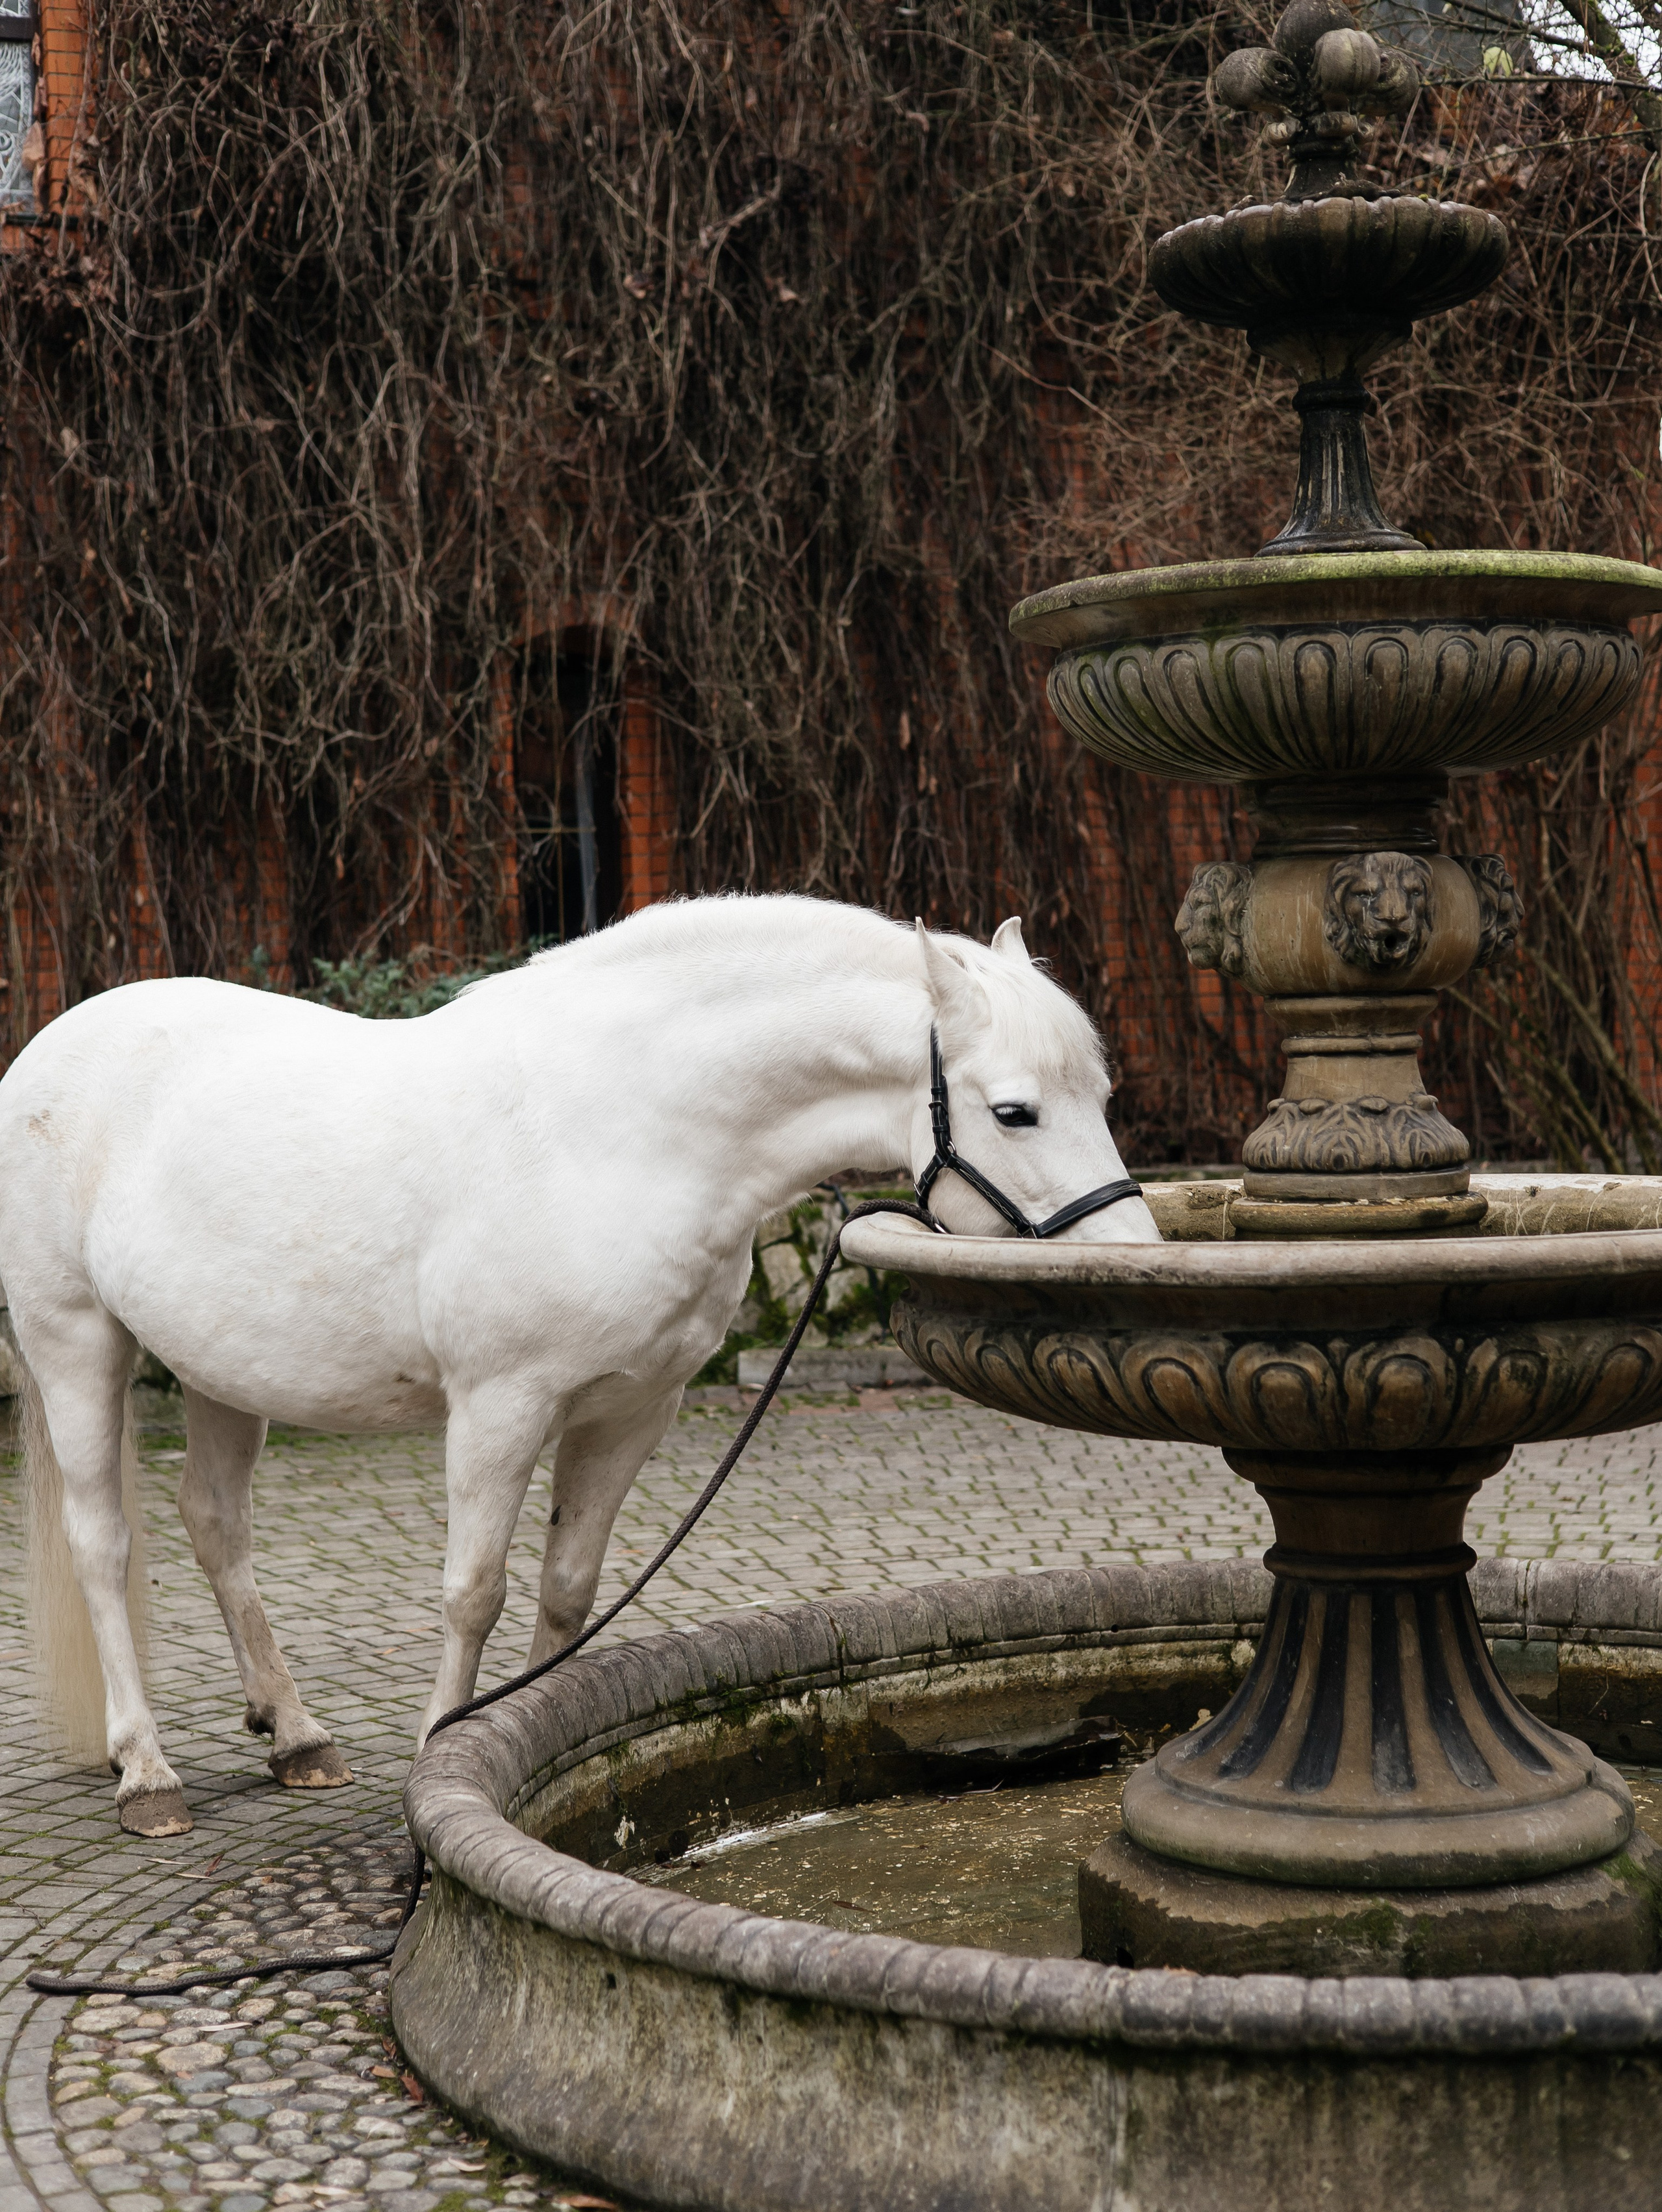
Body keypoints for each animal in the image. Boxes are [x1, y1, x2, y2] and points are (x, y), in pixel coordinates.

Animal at [0, 894, 1158, 1836]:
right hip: (76, 1340)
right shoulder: (500, 1406)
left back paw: (294, 1734)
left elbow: (566, 1588)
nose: (1134, 1259)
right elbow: (474, 1590)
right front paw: (440, 1753)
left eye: (1099, 1090)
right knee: (104, 1543)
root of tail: (48, 1046)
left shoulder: (632, 1409)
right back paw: (147, 1773)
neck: (620, 1127)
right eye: (1014, 1109)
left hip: (222, 1372)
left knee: (215, 1526)